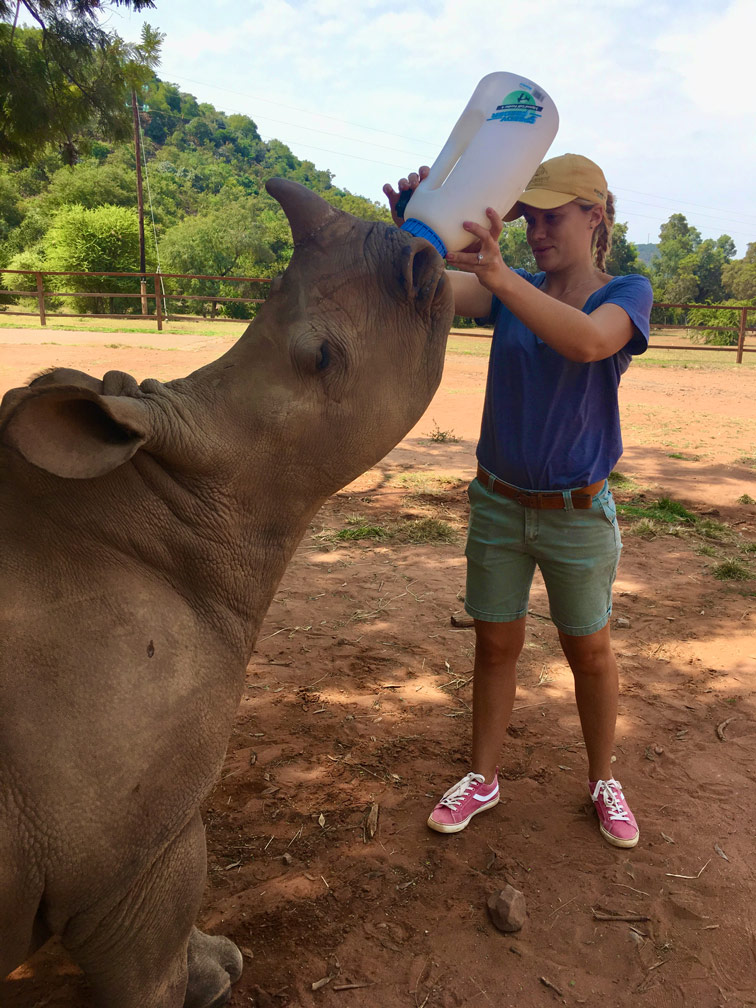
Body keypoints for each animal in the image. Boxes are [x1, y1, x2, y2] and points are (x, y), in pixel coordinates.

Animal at [0, 178, 453, 1008]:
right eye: (321, 356)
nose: (417, 251)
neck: (186, 495)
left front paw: (213, 969)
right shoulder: (128, 861)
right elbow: (146, 976)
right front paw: (199, 985)